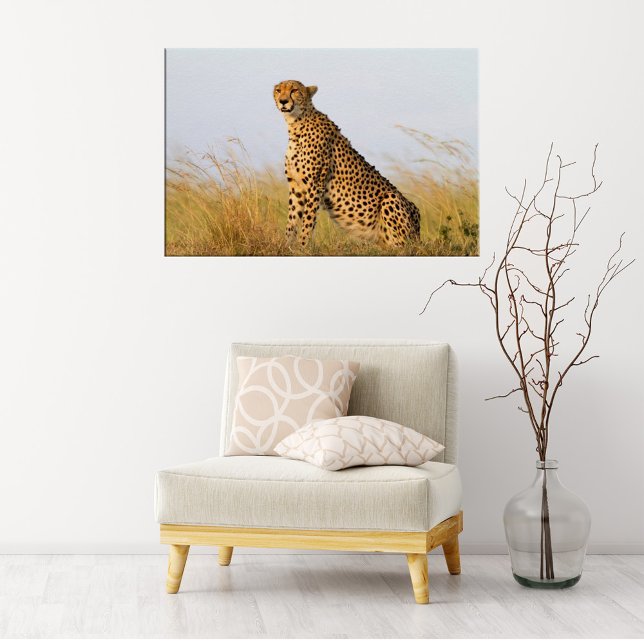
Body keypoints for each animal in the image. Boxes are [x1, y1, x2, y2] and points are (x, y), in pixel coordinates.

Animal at [273, 80, 421, 248]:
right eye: (278, 90)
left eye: (294, 90)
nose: (283, 101)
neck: (296, 123)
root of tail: (418, 234)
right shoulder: (296, 186)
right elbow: (291, 220)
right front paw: (287, 245)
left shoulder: (315, 185)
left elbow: (308, 220)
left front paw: (303, 246)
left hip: (391, 200)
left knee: (401, 247)